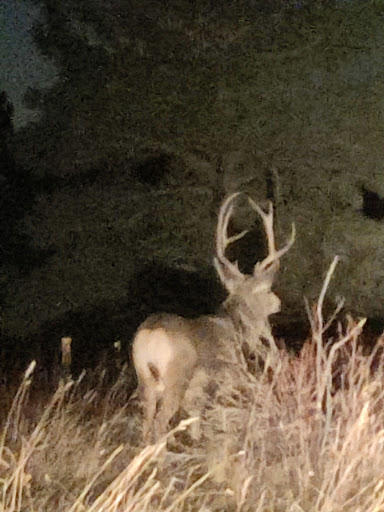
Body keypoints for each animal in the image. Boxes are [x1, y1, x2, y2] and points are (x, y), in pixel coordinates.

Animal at [130, 194, 296, 442]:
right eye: (266, 290)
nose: (278, 302)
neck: (236, 330)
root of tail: (152, 333)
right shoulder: (227, 380)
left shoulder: (196, 398)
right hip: (176, 378)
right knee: (159, 424)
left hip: (145, 380)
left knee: (146, 424)